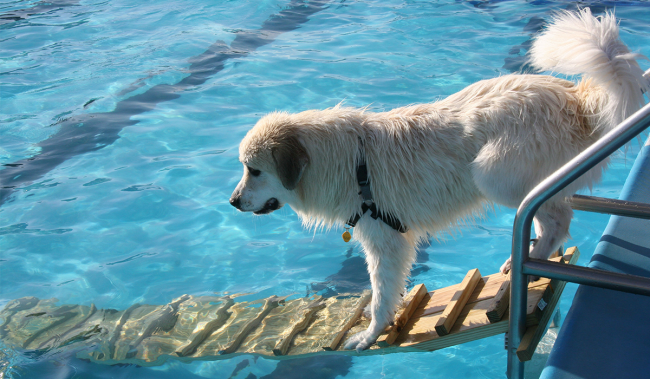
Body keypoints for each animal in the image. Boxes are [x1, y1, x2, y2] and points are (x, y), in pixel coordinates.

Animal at [230, 8, 644, 352]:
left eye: (254, 170)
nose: (233, 202)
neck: (345, 162)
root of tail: (574, 99)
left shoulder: (385, 242)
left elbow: (381, 294)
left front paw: (369, 335)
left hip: (491, 173)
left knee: (556, 218)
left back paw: (530, 260)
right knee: (551, 214)